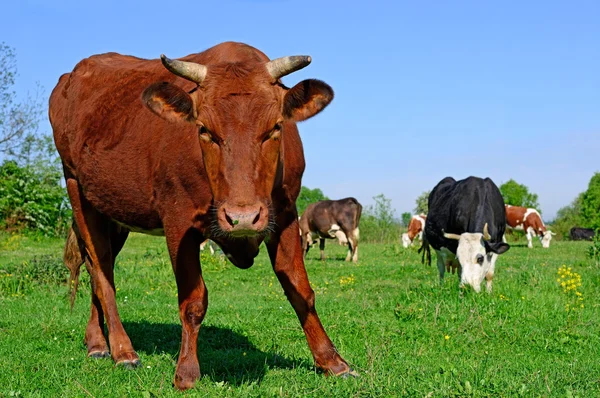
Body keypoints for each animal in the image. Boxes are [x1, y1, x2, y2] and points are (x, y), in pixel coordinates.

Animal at [50, 40, 356, 388]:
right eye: (205, 130)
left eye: (275, 127)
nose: (242, 218)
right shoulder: (178, 222)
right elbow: (193, 301)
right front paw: (186, 372)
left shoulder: (286, 214)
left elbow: (300, 289)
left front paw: (332, 361)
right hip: (77, 191)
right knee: (100, 271)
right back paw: (122, 351)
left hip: (114, 211)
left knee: (98, 266)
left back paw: (97, 343)